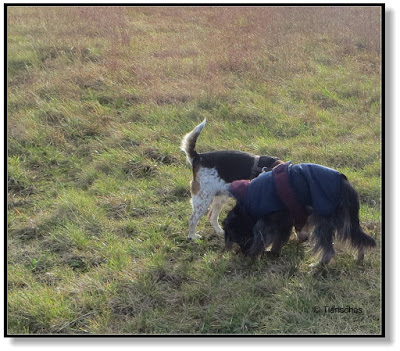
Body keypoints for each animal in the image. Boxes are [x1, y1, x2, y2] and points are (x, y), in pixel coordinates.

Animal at [223, 164, 376, 266]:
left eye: (240, 239)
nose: (244, 253)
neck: (246, 209)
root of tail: (347, 188)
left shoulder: (270, 220)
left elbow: (265, 238)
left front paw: (257, 255)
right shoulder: (285, 220)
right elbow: (279, 238)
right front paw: (272, 252)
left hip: (323, 218)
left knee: (329, 249)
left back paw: (319, 265)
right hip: (344, 220)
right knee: (357, 238)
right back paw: (360, 257)